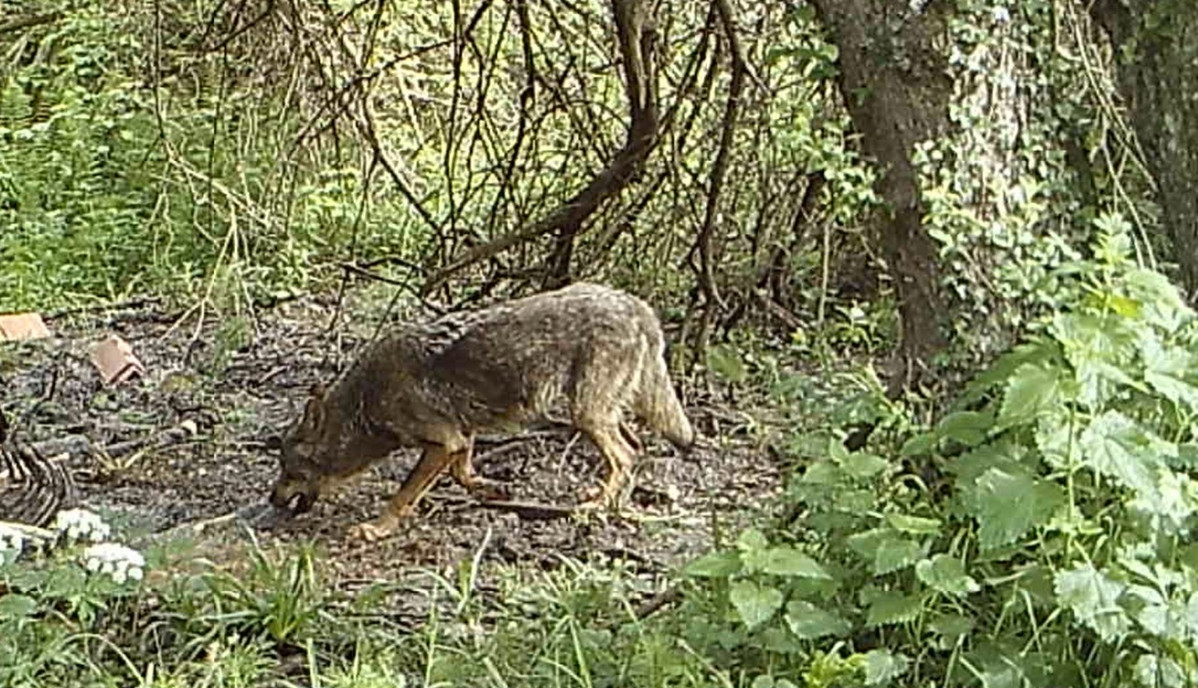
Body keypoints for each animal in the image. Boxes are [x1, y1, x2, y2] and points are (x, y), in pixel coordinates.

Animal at [262, 282, 694, 541]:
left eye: (289, 470)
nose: (272, 498)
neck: (365, 403)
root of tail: (636, 305)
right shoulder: (459, 435)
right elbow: (463, 471)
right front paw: (491, 488)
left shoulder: (442, 442)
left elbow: (402, 495)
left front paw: (378, 528)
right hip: (601, 414)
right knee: (635, 450)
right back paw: (613, 500)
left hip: (586, 414)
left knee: (626, 455)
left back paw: (596, 506)